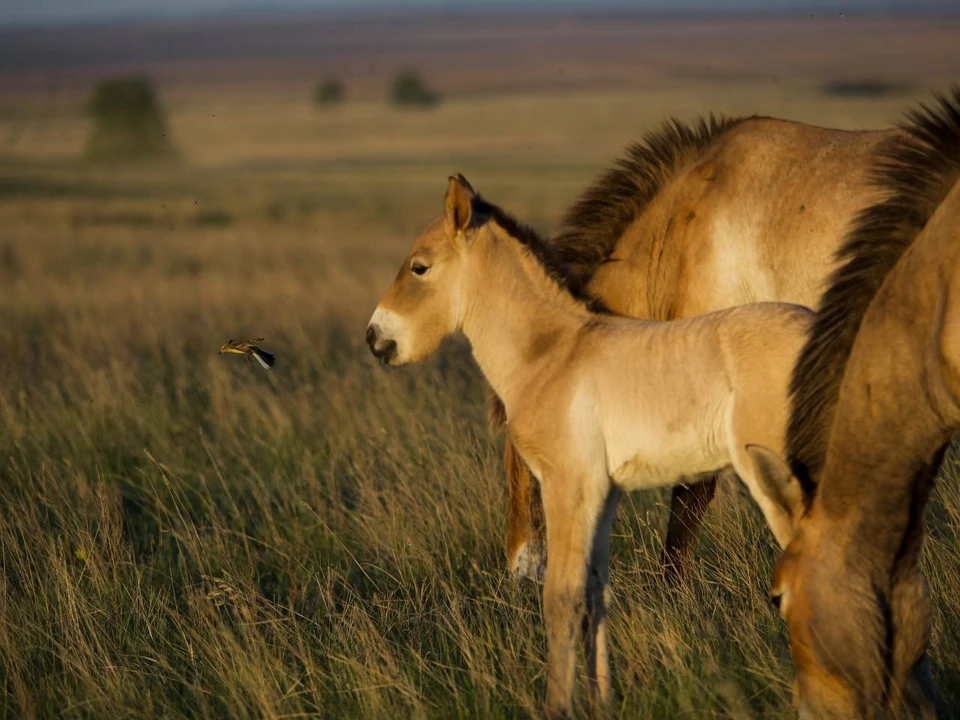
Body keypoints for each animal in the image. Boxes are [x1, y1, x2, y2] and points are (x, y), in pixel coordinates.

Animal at [367, 174, 815, 717]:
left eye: (420, 266)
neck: (553, 351)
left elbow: (561, 597)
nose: (375, 339)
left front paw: (557, 705)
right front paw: (603, 699)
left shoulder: (567, 486)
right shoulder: (605, 492)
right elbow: (596, 591)